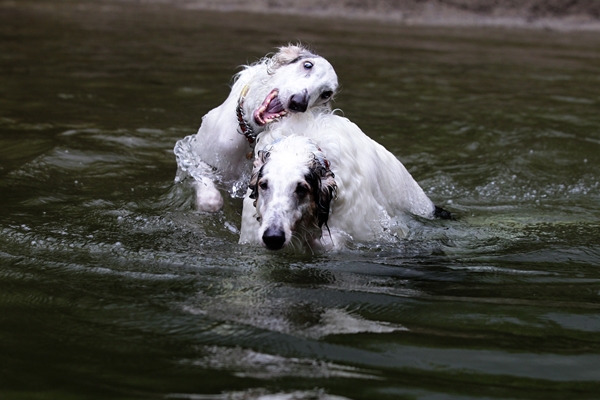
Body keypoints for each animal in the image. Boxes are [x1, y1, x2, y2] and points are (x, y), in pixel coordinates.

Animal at [172, 43, 338, 211]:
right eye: (308, 65)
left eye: (326, 94)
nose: (299, 102)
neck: (250, 135)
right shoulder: (193, 158)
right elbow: (211, 199)